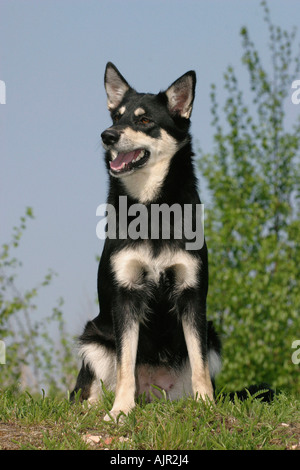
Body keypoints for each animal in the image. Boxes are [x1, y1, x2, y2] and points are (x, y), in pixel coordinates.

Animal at [70, 63, 220, 422]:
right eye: (116, 117)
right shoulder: (126, 294)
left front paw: (206, 405)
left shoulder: (192, 294)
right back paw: (96, 406)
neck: (152, 208)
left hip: (214, 336)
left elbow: (199, 364)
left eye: (144, 120)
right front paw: (121, 410)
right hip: (93, 338)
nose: (107, 136)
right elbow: (125, 364)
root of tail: (153, 395)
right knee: (87, 388)